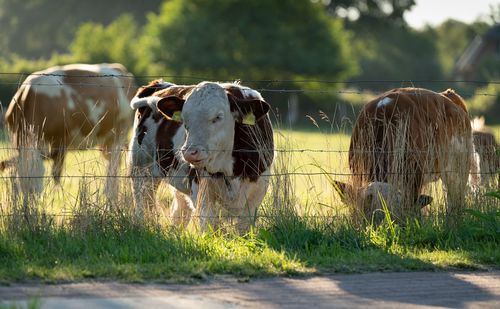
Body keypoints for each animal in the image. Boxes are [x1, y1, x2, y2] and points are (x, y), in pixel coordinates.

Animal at [1, 63, 137, 195]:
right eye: (21, 179)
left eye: (37, 175)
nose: (31, 195)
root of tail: (120, 68)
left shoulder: (61, 142)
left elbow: (56, 174)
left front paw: (57, 196)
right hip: (105, 139)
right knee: (110, 160)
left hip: (120, 132)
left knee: (114, 163)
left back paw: (109, 193)